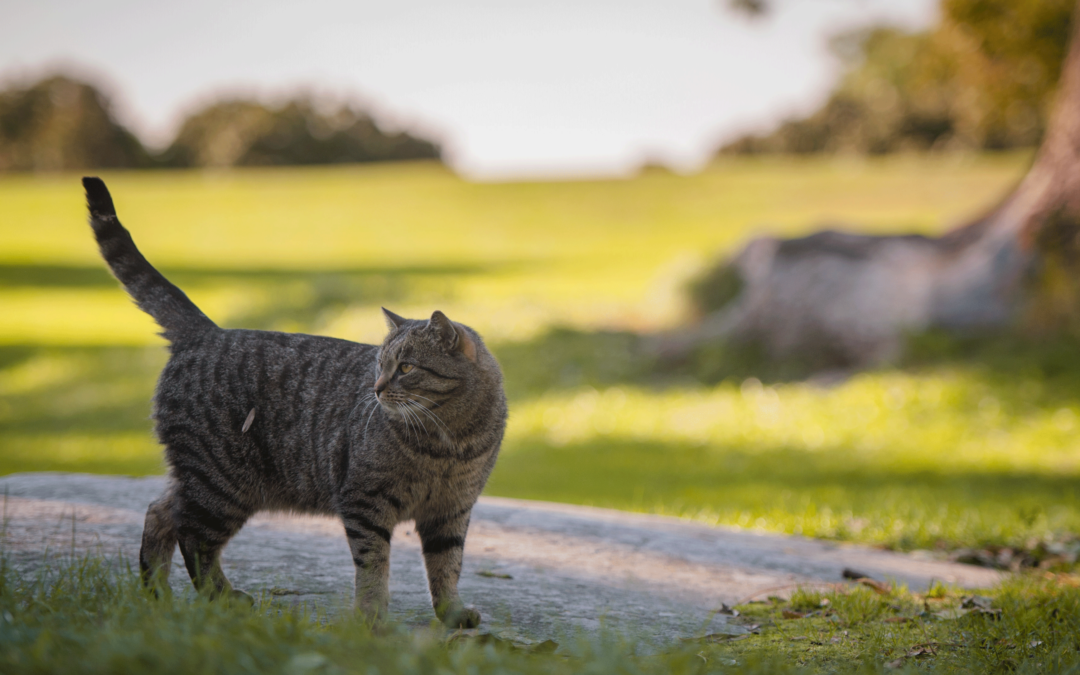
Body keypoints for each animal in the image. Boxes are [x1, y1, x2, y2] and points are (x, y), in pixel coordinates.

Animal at [83, 174, 505, 626]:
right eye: (379, 365)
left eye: (405, 367)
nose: (375, 388)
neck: (447, 442)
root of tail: (207, 331)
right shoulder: (364, 503)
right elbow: (373, 566)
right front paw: (372, 619)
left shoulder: (451, 510)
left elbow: (447, 566)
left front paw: (452, 613)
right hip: (221, 483)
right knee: (191, 535)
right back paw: (220, 597)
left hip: (204, 481)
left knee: (160, 513)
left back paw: (157, 594)